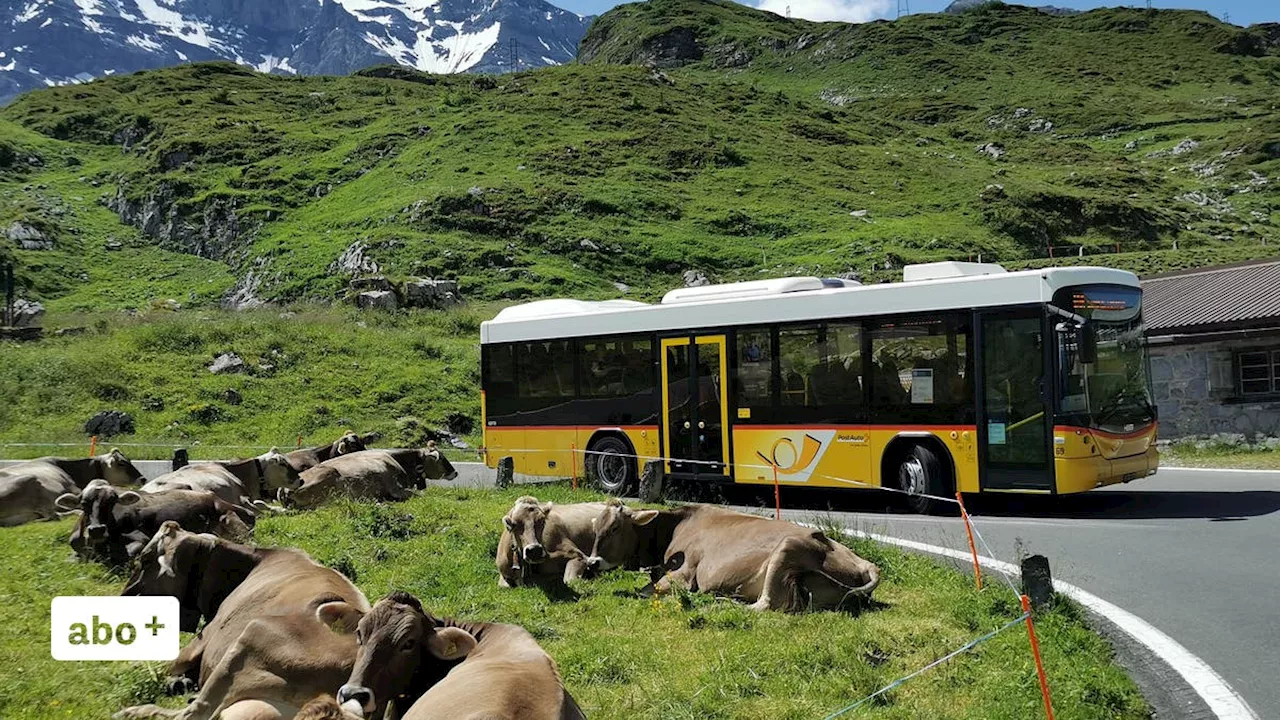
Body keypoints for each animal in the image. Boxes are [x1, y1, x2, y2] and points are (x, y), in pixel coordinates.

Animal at [113, 520, 371, 717]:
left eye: (144, 560)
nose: (121, 599)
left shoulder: (204, 636)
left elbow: (164, 663)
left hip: (253, 635)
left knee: (193, 713)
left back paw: (134, 711)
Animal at [583, 499, 875, 609]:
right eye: (595, 528)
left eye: (615, 527)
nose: (592, 563)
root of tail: (866, 564)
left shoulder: (682, 576)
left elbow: (647, 591)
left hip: (786, 548)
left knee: (764, 605)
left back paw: (721, 601)